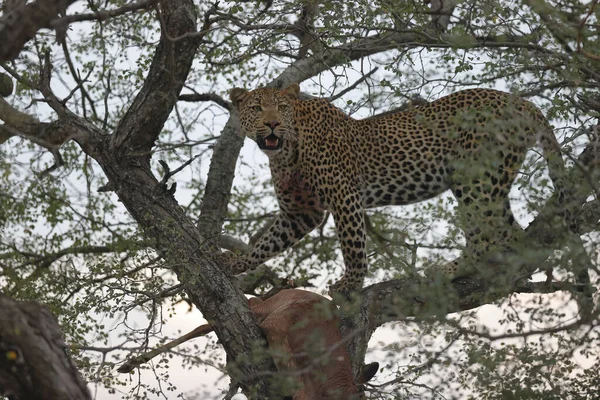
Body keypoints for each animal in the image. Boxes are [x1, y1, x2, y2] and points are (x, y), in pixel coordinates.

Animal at [224, 83, 564, 296]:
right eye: (256, 108)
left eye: (282, 107)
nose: (272, 124)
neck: (287, 151)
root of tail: (522, 102)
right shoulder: (300, 212)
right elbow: (267, 243)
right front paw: (234, 263)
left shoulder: (344, 194)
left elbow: (353, 245)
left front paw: (350, 284)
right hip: (493, 180)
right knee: (510, 233)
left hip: (473, 177)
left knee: (485, 236)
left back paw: (447, 270)